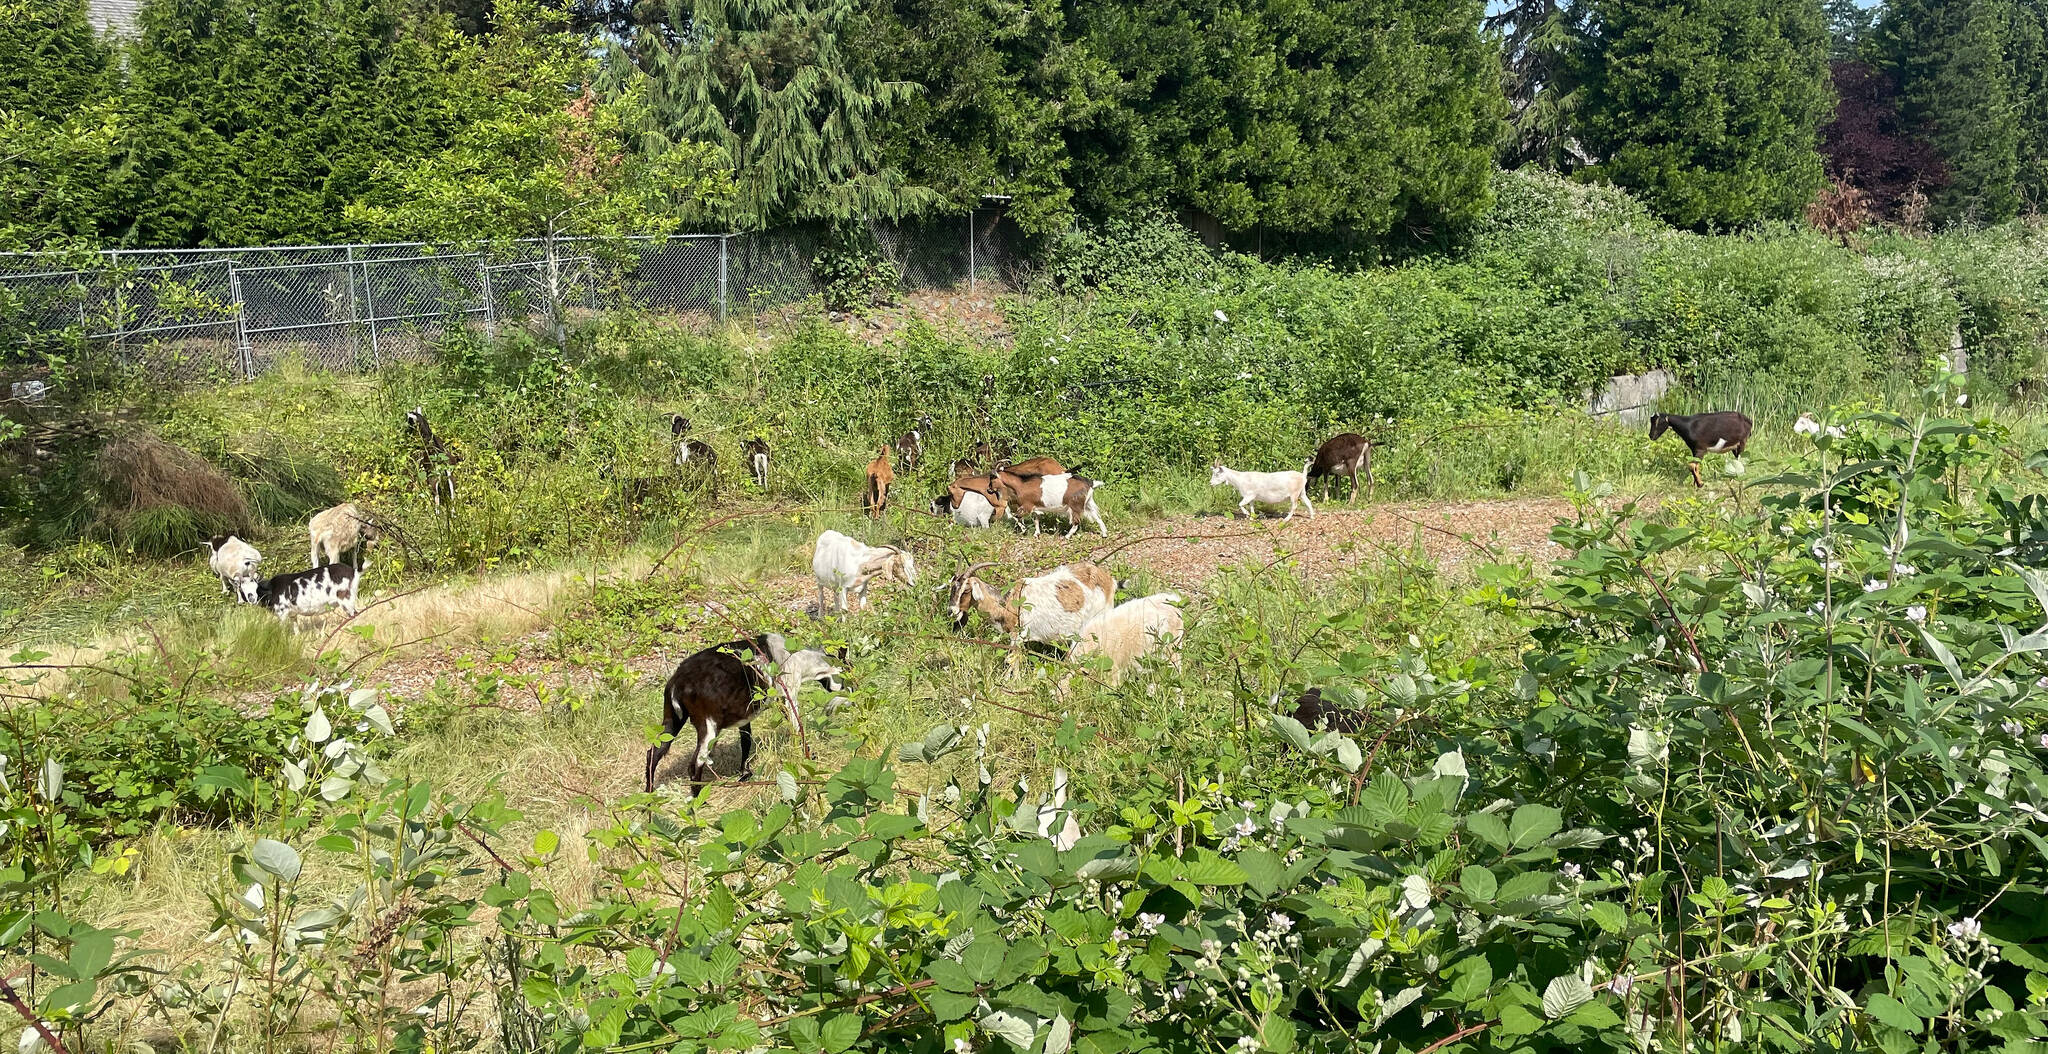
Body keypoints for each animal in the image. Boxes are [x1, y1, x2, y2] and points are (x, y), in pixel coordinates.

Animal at [634, 634, 835, 794]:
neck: (798, 658)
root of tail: (677, 683)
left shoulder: (745, 715)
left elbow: (746, 741)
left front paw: (745, 773)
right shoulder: (788, 694)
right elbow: (797, 728)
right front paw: (810, 757)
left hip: (672, 718)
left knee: (654, 752)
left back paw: (649, 793)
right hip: (708, 725)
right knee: (696, 762)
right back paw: (697, 803)